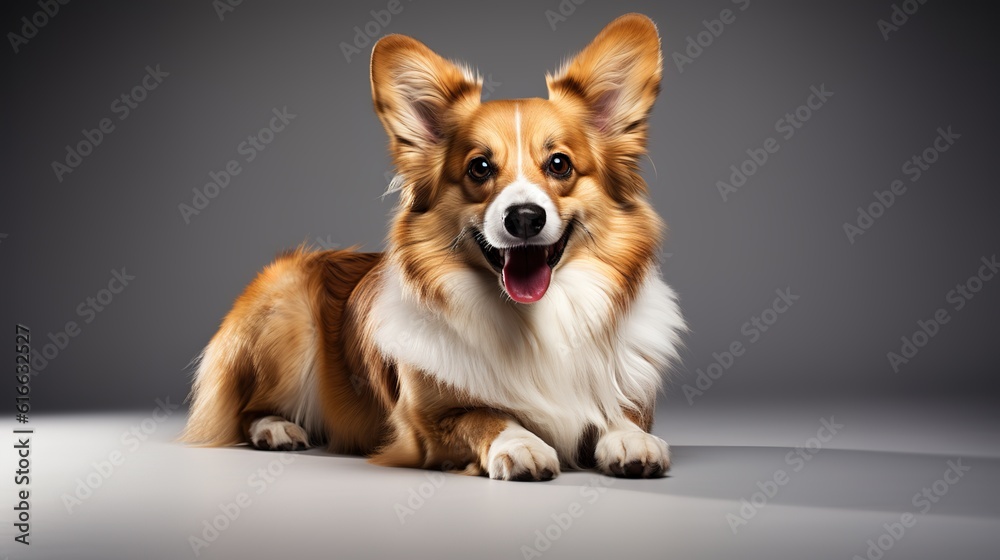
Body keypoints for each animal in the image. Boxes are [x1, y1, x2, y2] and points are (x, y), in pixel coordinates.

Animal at [182, 13, 688, 480]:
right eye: (480, 167)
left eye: (560, 164)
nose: (524, 217)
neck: (533, 321)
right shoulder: (428, 423)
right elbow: (487, 415)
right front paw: (522, 445)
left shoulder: (626, 391)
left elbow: (617, 413)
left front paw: (631, 440)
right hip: (286, 317)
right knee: (248, 408)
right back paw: (278, 429)